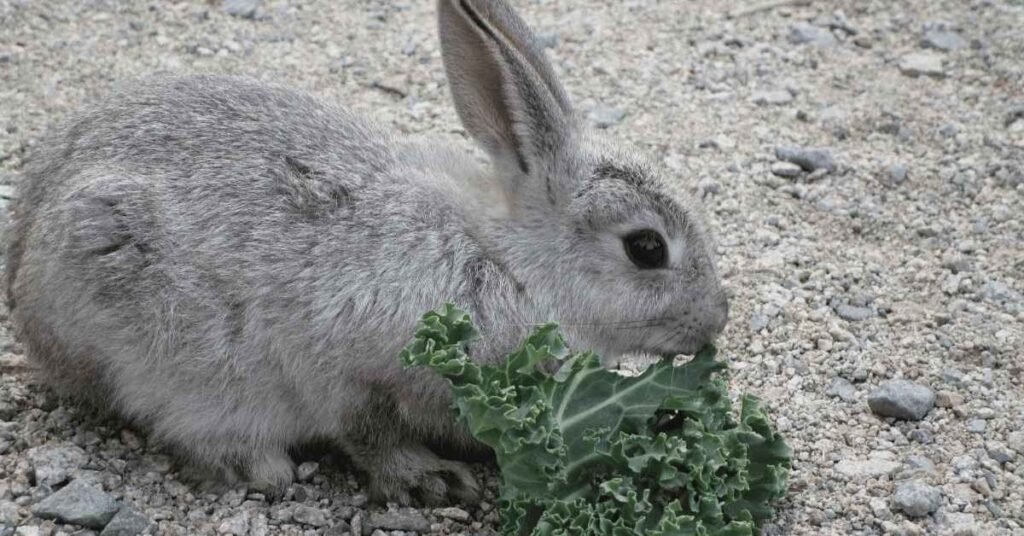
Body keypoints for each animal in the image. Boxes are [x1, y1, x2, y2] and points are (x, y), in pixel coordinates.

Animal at [5, 0, 729, 506]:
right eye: (646, 248)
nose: (716, 319)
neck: (512, 262)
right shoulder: (352, 368)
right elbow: (371, 433)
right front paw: (432, 480)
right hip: (146, 331)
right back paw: (260, 465)